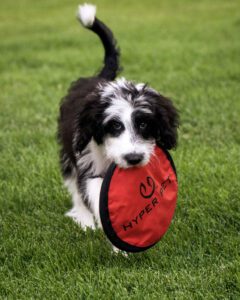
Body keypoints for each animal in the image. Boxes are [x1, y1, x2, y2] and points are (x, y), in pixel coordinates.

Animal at [57, 2, 178, 230]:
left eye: (143, 124)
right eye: (114, 126)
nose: (133, 158)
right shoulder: (88, 160)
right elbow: (93, 189)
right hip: (69, 152)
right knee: (74, 184)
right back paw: (84, 218)